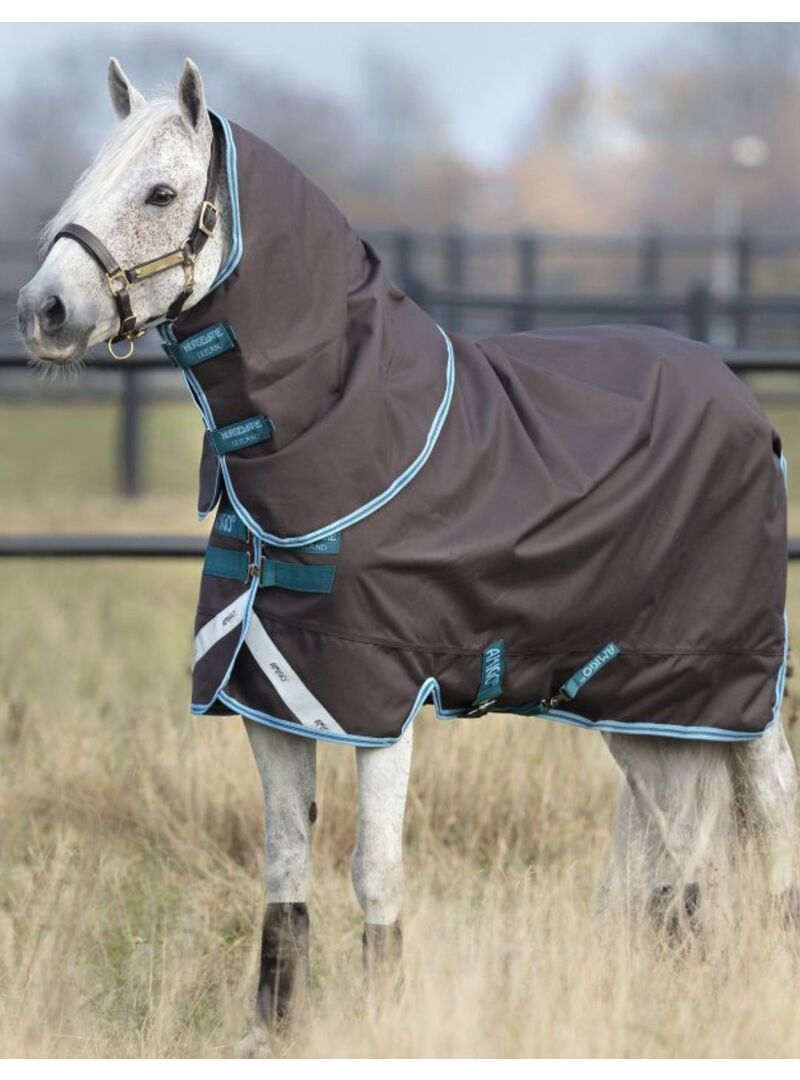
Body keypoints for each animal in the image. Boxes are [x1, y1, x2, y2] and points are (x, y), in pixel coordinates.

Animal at [17, 58, 798, 1055]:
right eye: (88, 179)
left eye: (160, 193)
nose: (42, 311)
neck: (350, 434)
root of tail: (740, 400)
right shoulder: (273, 699)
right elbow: (285, 864)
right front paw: (272, 1032)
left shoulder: (379, 701)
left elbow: (374, 871)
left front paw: (384, 1019)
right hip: (643, 698)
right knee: (679, 836)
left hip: (735, 680)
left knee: (770, 816)